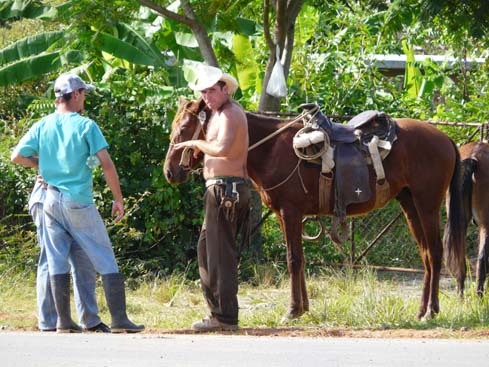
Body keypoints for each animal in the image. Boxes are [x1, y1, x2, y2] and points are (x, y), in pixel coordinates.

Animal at [165, 97, 466, 320]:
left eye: (183, 129)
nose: (169, 172)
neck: (271, 148)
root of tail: (446, 139)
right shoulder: (286, 215)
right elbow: (298, 258)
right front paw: (303, 307)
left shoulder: (290, 212)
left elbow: (293, 260)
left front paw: (292, 310)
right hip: (409, 203)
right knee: (426, 255)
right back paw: (423, 309)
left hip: (427, 204)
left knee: (435, 253)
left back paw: (430, 312)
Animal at [444, 142, 488, 298]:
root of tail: (474, 157)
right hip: (485, 224)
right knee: (481, 260)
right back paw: (479, 297)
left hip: (460, 223)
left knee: (461, 261)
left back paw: (461, 298)